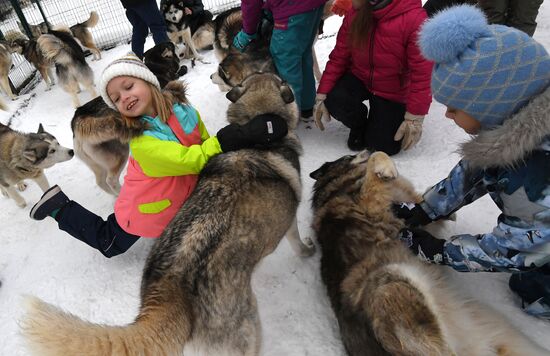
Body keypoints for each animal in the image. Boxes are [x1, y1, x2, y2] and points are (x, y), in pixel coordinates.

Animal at [308, 151, 548, 356]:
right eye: (349, 156)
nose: (363, 149)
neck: (338, 184)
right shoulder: (372, 205)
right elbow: (377, 160)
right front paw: (385, 168)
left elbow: (422, 207)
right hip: (391, 286)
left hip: (501, 332)